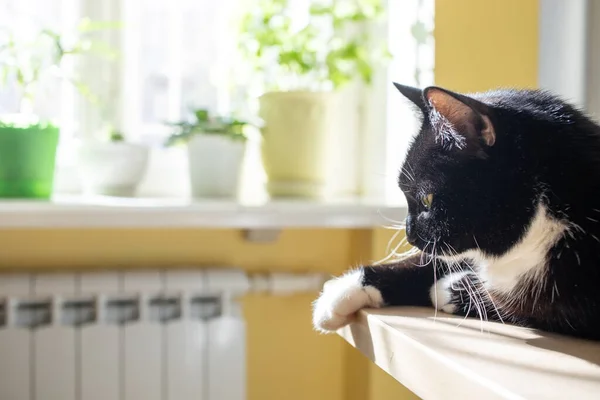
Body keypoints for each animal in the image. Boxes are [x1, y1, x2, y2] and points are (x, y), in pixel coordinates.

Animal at [312, 83, 600, 340]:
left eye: (426, 200)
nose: (409, 235)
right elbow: (427, 261)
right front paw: (338, 294)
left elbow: (523, 308)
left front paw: (450, 289)